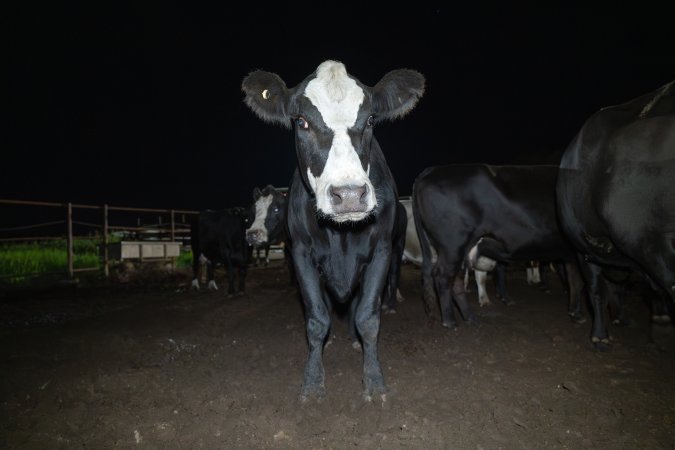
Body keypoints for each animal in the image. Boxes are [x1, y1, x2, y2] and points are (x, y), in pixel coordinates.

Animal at [242, 59, 422, 400]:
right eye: (301, 122)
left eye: (370, 120)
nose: (349, 194)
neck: (342, 236)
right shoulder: (300, 253)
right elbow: (316, 319)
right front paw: (313, 382)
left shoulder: (380, 250)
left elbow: (368, 317)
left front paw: (374, 380)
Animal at [412, 163, 588, 328]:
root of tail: (432, 170)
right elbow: (581, 283)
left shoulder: (570, 254)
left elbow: (574, 282)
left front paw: (575, 313)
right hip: (453, 245)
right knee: (443, 276)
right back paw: (450, 321)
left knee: (454, 280)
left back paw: (471, 318)